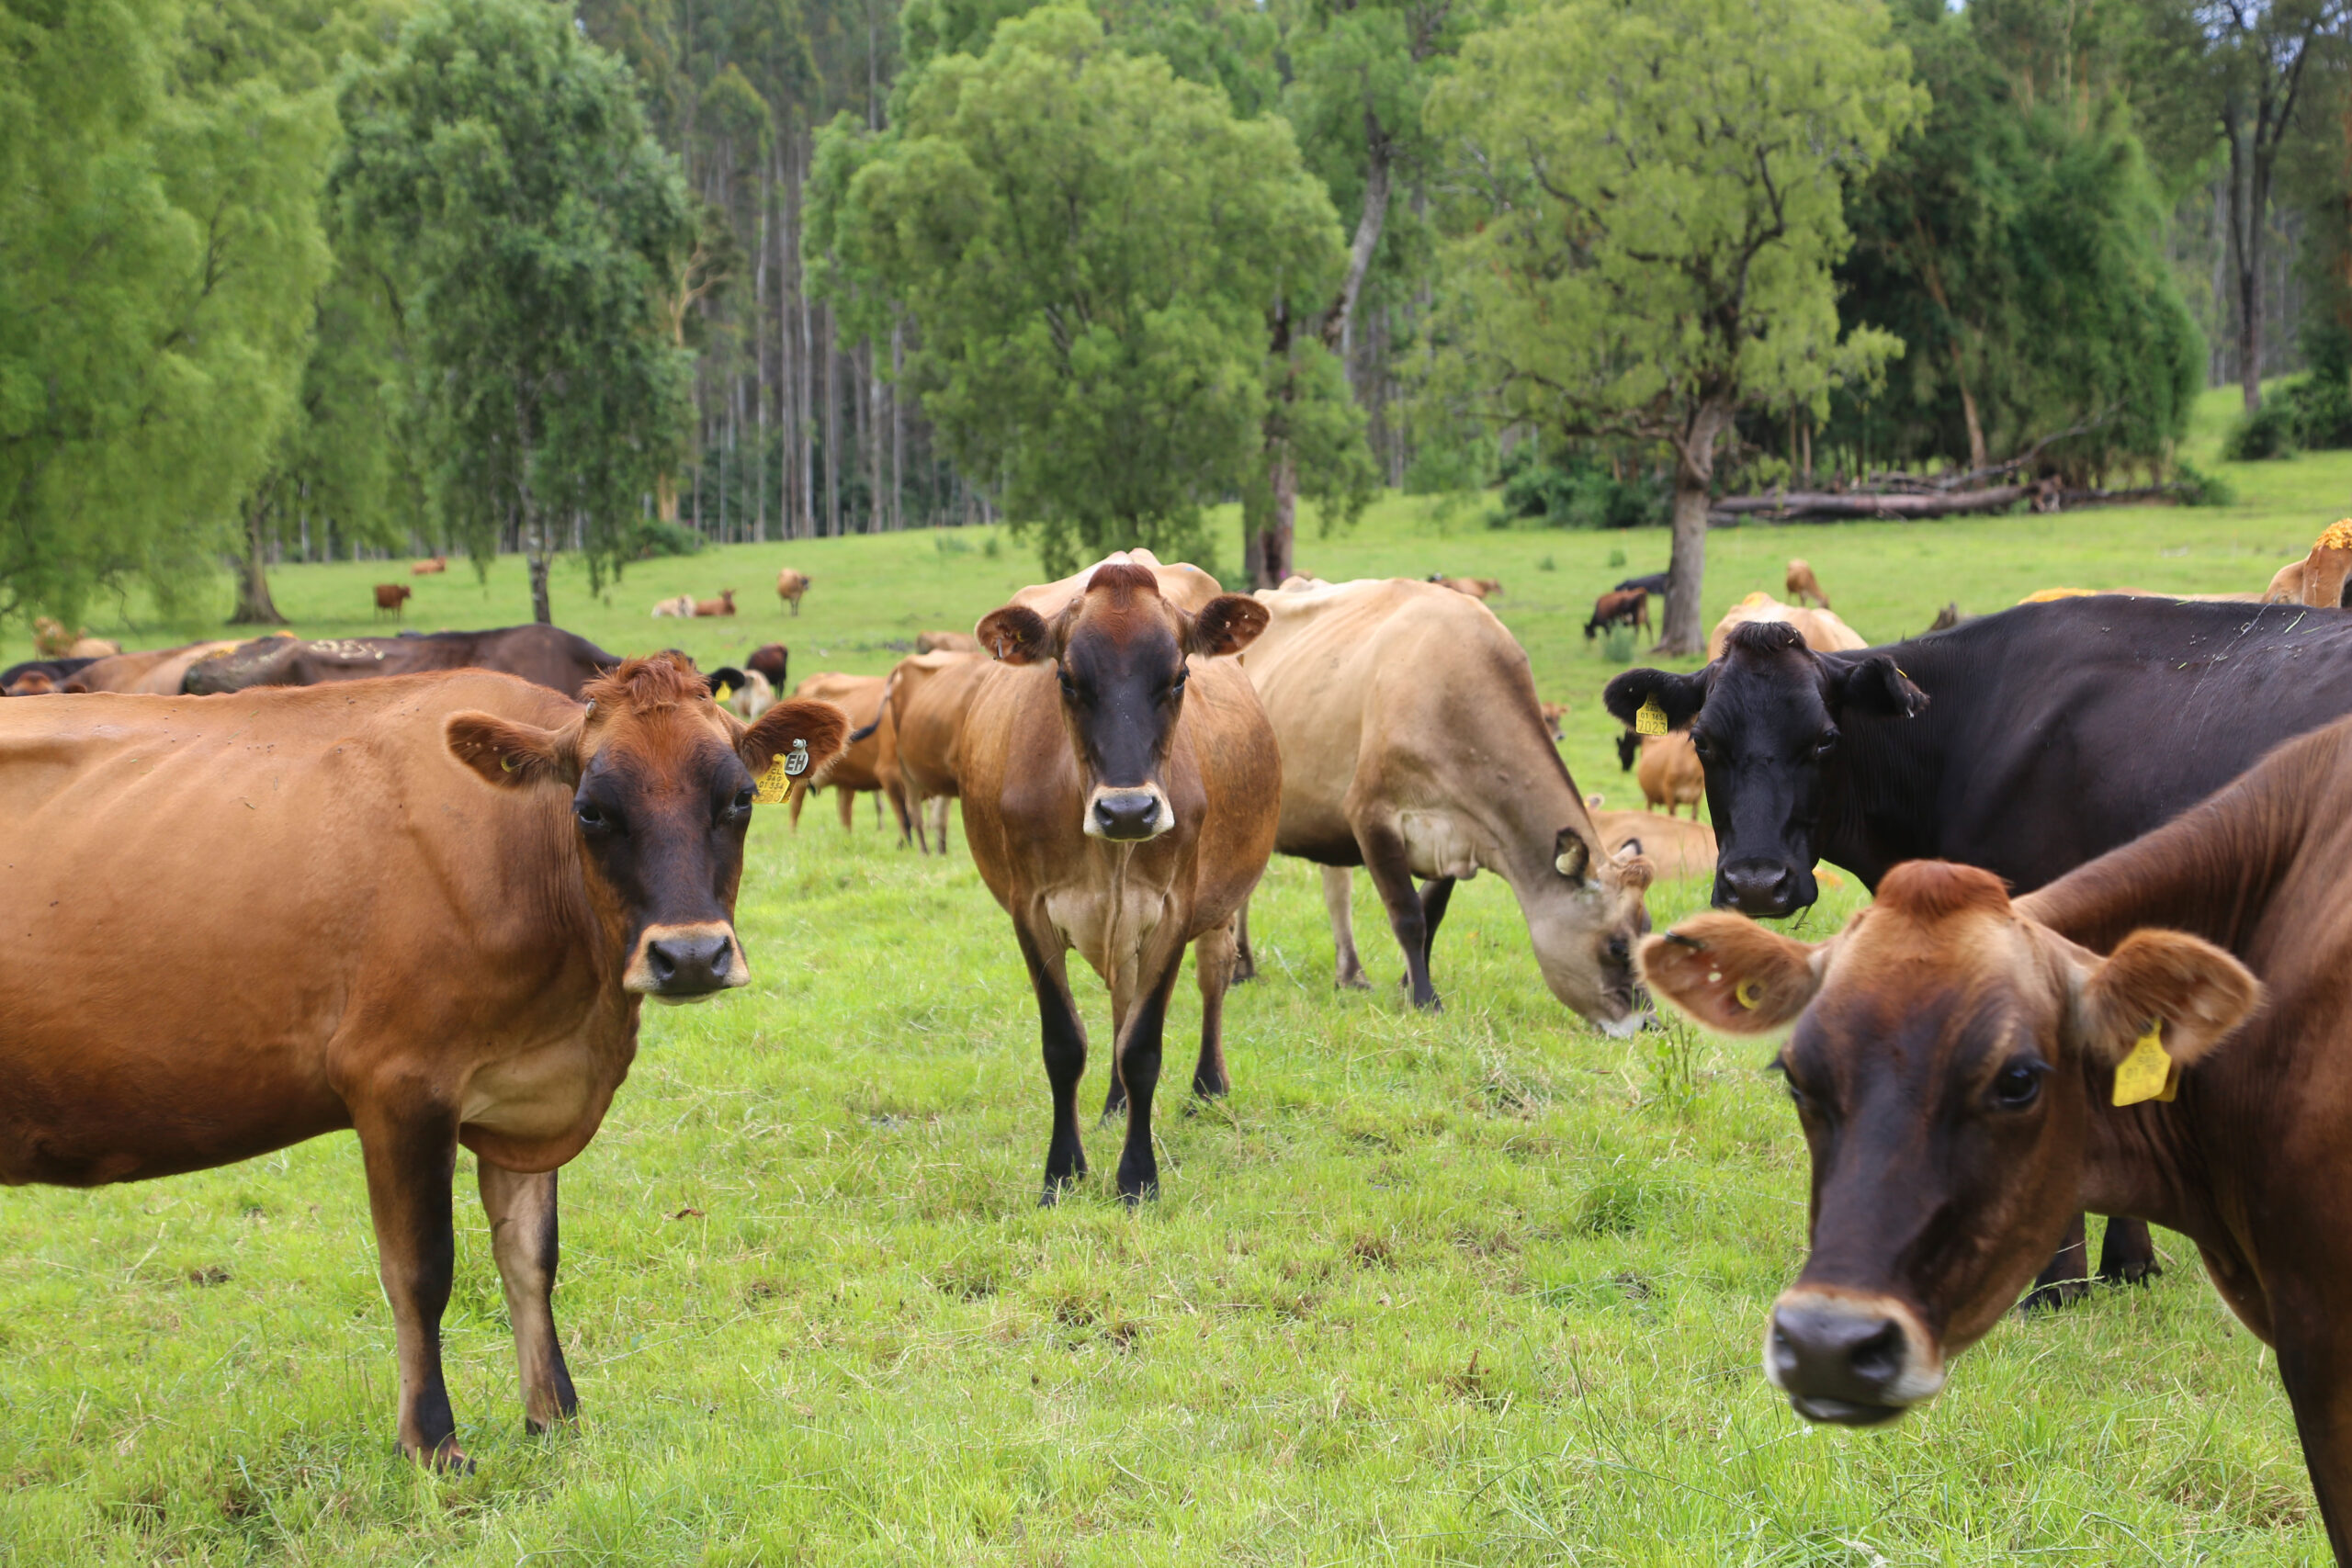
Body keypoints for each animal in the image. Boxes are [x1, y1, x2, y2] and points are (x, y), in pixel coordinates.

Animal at [0, 658, 855, 1466]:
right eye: (590, 810)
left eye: (739, 799)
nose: (691, 956)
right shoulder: (397, 1083)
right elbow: (420, 1271)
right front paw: (432, 1443)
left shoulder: (523, 1091)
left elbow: (530, 1255)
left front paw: (555, 1415)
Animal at [959, 552, 1288, 1203]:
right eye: (1066, 679)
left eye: (1180, 676)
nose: (1129, 812)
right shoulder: (1029, 910)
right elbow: (1065, 1044)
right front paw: (1062, 1172)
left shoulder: (1174, 909)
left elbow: (1142, 1048)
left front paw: (1137, 1177)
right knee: (1120, 997)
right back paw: (1113, 1105)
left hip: (1218, 903)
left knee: (1213, 975)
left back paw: (1209, 1085)